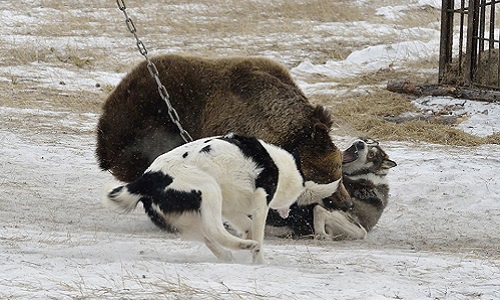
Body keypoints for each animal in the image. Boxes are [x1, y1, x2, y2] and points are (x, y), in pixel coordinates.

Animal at [104, 134, 340, 262]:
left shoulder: (231, 208)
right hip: (209, 190)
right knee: (214, 230)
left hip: (187, 217)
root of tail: (146, 180)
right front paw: (258, 259)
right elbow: (258, 231)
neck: (281, 167)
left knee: (208, 236)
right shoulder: (260, 202)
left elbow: (246, 225)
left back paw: (229, 255)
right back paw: (246, 246)